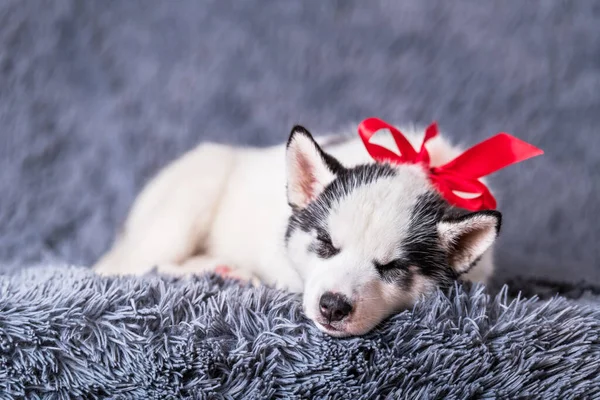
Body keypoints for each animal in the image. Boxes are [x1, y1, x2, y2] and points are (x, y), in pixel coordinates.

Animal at [95, 123, 502, 336]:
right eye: (325, 243)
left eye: (392, 267)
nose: (333, 307)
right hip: (189, 200)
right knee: (131, 266)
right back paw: (217, 268)